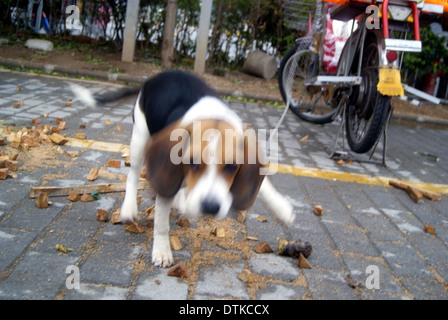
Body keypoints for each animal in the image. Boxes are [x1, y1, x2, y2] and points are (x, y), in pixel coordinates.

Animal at [71, 70, 294, 268]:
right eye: (192, 162)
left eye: (232, 166)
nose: (210, 207)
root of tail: (154, 77)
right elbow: (161, 223)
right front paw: (162, 251)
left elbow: (264, 187)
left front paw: (281, 208)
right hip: (140, 139)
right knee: (133, 175)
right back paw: (129, 207)